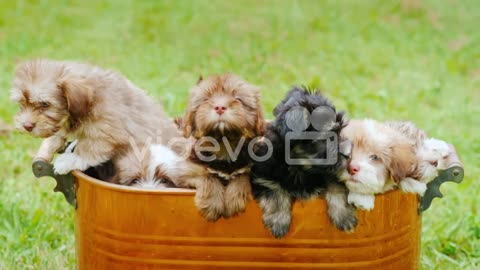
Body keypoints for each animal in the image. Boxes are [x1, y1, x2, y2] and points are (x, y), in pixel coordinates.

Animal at [10, 59, 180, 184]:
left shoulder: (108, 131)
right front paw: (54, 143)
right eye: (21, 103)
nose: (26, 126)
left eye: (45, 104)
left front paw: (68, 160)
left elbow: (90, 147)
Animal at [179, 73, 264, 220]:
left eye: (237, 99)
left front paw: (234, 199)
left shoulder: (250, 167)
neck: (224, 145)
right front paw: (212, 203)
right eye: (206, 99)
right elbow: (206, 175)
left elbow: (243, 175)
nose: (220, 107)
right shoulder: (187, 169)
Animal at [251, 86, 356, 238]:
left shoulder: (330, 172)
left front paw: (344, 216)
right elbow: (275, 190)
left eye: (340, 131)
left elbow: (336, 186)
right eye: (327, 137)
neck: (301, 167)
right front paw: (279, 221)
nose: (348, 154)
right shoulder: (263, 176)